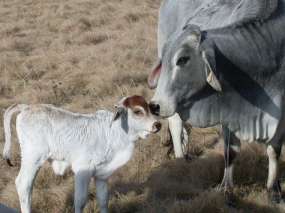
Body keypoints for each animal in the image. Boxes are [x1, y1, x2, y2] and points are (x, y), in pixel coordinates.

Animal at [2, 95, 160, 213]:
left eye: (150, 108)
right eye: (137, 111)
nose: (157, 125)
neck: (113, 133)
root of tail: (26, 107)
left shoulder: (102, 175)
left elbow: (103, 200)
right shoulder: (83, 170)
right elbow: (80, 201)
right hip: (33, 158)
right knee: (24, 185)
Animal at [150, 0, 282, 203]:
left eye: (183, 59)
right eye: (164, 59)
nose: (154, 106)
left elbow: (274, 151)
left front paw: (274, 190)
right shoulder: (228, 113)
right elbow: (230, 151)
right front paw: (226, 188)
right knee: (176, 124)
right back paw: (180, 160)